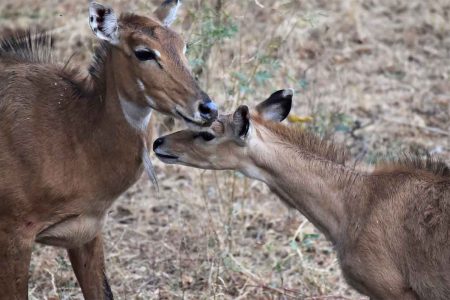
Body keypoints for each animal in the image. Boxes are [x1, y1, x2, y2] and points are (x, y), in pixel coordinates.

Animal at [0, 1, 218, 298]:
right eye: (143, 52)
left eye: (183, 46)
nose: (208, 109)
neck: (73, 132)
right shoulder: (15, 232)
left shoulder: (88, 231)